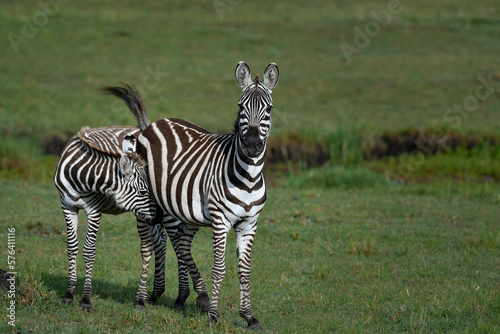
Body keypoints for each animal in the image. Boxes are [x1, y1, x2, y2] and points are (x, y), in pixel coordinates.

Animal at [129, 61, 280, 330]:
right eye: (240, 106)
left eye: (269, 108)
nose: (252, 145)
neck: (249, 178)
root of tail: (155, 124)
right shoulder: (221, 221)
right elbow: (219, 269)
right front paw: (214, 316)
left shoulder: (249, 223)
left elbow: (245, 271)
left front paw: (249, 317)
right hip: (145, 203)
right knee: (147, 247)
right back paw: (140, 299)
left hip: (185, 210)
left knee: (180, 243)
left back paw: (188, 297)